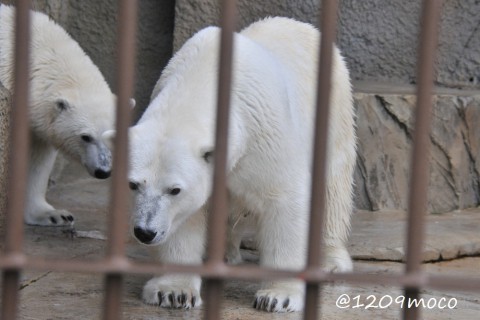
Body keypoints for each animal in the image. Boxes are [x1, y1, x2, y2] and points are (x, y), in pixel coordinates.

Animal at [124, 16, 356, 312]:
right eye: (133, 184)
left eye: (174, 189)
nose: (145, 232)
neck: (203, 79)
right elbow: (187, 218)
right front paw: (174, 291)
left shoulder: (263, 135)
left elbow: (284, 199)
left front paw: (278, 296)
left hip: (333, 108)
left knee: (332, 185)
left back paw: (330, 261)